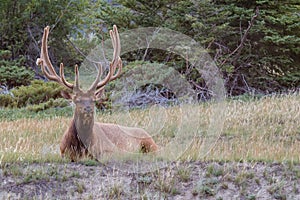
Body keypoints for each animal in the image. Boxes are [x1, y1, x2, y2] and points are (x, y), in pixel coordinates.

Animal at [36, 25, 158, 161]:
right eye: (76, 100)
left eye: (93, 100)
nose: (88, 109)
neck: (80, 148)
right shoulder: (63, 153)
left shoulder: (109, 151)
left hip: (150, 143)